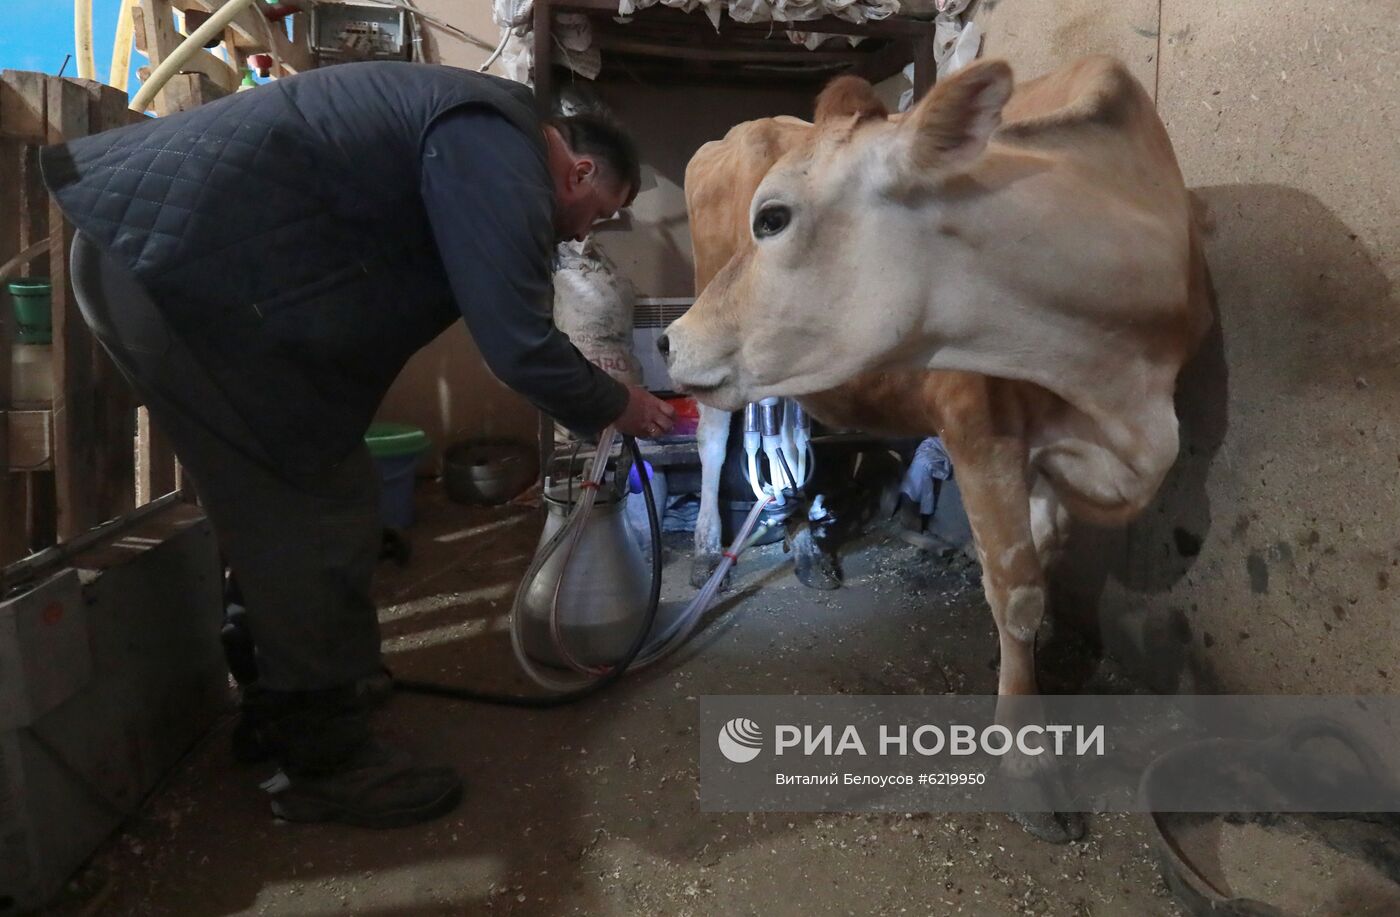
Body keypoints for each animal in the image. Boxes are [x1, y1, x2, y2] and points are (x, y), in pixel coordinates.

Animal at [672, 55, 1209, 840]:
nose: (667, 339)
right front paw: (1029, 760)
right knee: (715, 442)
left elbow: (1040, 558)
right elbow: (1017, 590)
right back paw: (710, 541)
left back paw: (808, 542)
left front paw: (1029, 666)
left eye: (771, 218)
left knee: (788, 440)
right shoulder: (980, 431)